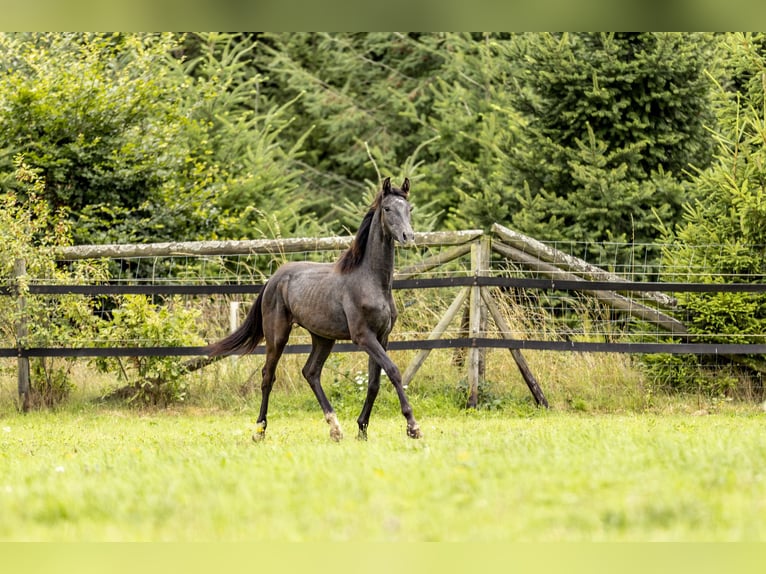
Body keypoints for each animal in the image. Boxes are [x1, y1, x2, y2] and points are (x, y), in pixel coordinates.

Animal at [207, 178, 424, 444]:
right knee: (268, 376)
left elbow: (374, 382)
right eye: (387, 208)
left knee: (310, 372)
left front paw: (362, 430)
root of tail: (273, 279)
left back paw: (335, 428)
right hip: (277, 336)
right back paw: (259, 431)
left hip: (322, 338)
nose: (408, 237)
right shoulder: (363, 337)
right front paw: (413, 427)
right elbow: (393, 371)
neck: (370, 281)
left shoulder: (382, 337)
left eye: (409, 208)